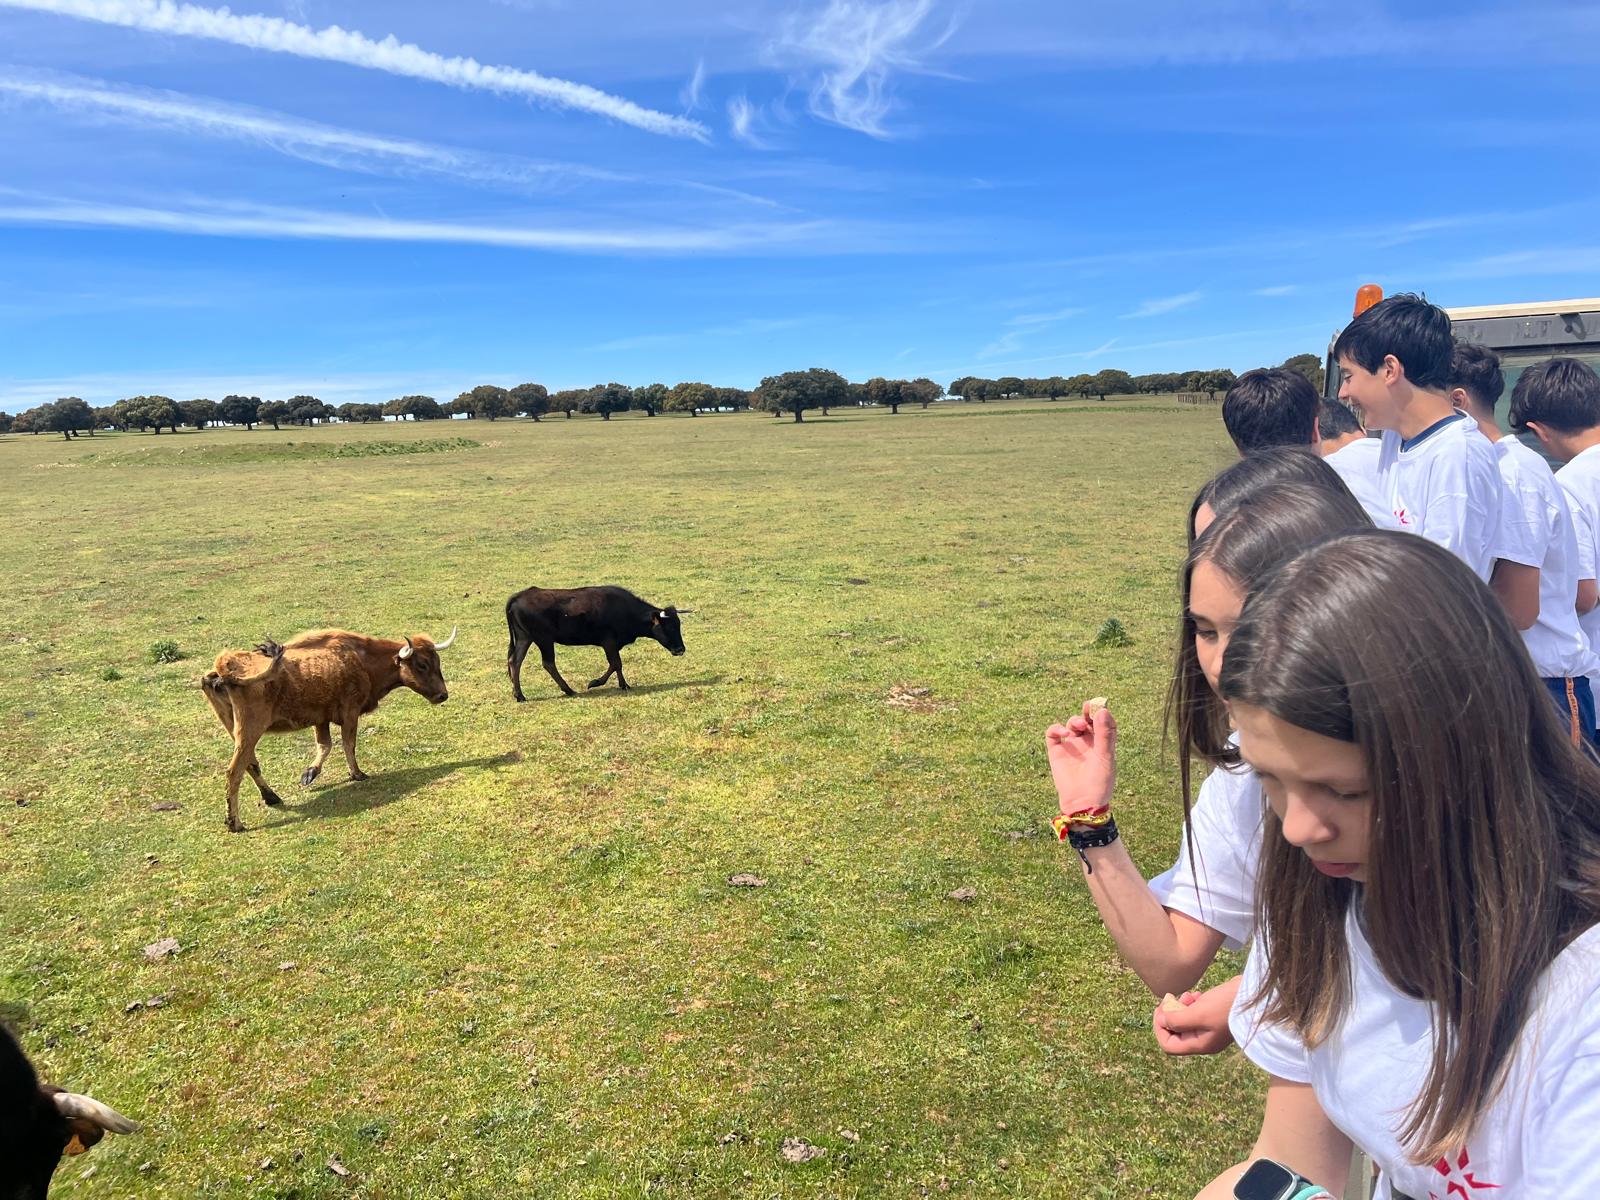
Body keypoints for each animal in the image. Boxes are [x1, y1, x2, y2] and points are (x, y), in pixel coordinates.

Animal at [200, 624, 454, 832]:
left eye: (438, 663)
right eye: (422, 664)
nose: (443, 695)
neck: (361, 658)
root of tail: (226, 665)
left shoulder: (320, 718)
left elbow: (325, 745)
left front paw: (309, 774)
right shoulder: (350, 712)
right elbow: (348, 744)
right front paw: (357, 774)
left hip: (235, 730)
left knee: (251, 764)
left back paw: (272, 797)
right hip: (250, 730)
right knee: (234, 771)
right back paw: (235, 823)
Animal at [505, 588, 688, 700]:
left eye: (678, 625)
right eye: (669, 627)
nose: (680, 649)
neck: (625, 610)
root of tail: (519, 596)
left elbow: (617, 665)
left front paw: (624, 684)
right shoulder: (609, 642)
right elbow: (615, 663)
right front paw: (595, 683)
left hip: (524, 638)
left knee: (515, 661)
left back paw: (519, 695)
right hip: (544, 640)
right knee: (548, 663)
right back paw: (568, 689)